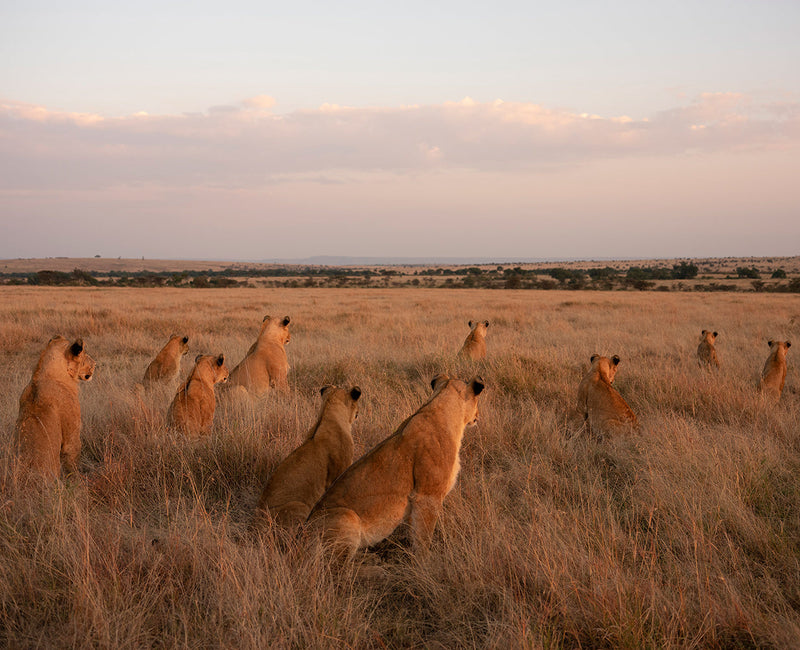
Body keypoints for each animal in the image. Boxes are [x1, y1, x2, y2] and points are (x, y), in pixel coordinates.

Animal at [304, 374, 482, 556]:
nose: (478, 415)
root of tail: (300, 537)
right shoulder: (427, 496)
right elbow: (423, 539)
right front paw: (426, 561)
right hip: (347, 517)